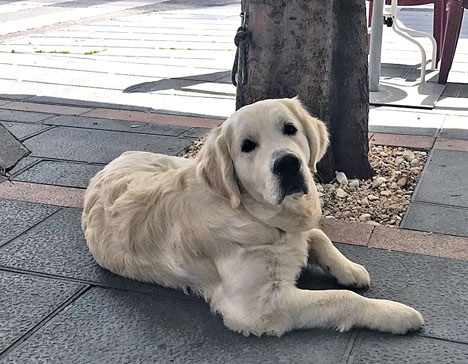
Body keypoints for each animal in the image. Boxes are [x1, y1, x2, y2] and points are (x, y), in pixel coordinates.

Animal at [81, 97, 424, 336]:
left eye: (290, 129)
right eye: (247, 146)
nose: (287, 164)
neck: (259, 217)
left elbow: (316, 234)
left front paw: (348, 269)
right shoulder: (260, 308)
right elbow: (343, 299)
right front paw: (395, 314)